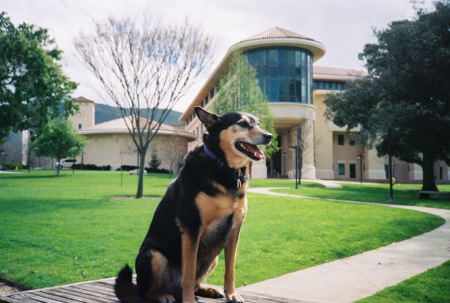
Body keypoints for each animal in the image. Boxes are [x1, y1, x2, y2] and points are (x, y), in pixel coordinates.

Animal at [114, 107, 272, 303]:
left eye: (258, 123)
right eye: (242, 123)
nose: (269, 136)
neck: (224, 167)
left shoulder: (235, 229)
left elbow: (230, 270)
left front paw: (232, 294)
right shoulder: (192, 228)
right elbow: (188, 274)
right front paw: (188, 300)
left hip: (214, 258)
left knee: (194, 283)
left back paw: (208, 289)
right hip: (154, 256)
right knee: (147, 291)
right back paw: (163, 295)